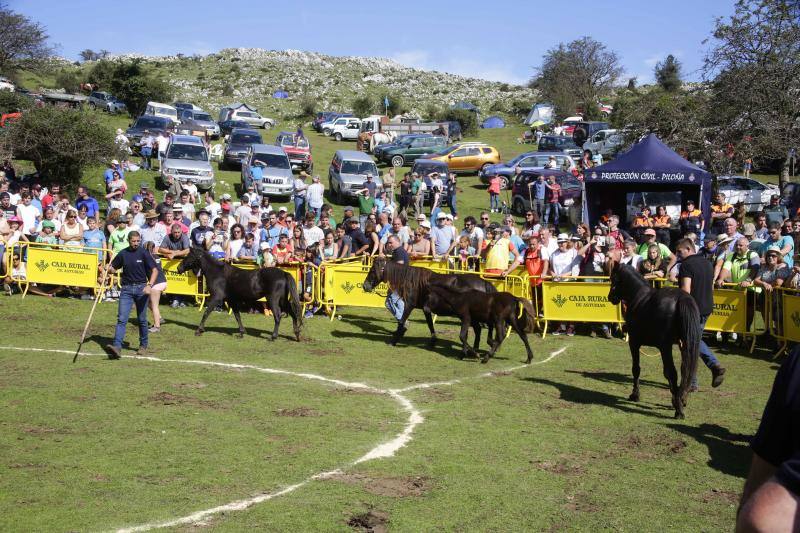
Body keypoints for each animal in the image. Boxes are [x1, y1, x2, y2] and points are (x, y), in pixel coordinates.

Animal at [176, 248, 304, 340]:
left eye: (189, 256)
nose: (178, 268)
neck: (217, 273)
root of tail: (283, 273)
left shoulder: (216, 298)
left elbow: (206, 313)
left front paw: (199, 330)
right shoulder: (231, 300)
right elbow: (237, 316)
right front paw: (241, 333)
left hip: (273, 299)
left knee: (278, 316)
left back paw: (273, 337)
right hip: (283, 300)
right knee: (293, 314)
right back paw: (297, 335)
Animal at [360, 256, 494, 348]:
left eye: (372, 271)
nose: (365, 286)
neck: (412, 282)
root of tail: (484, 283)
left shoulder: (409, 305)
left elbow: (402, 321)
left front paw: (393, 341)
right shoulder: (426, 309)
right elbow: (430, 324)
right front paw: (433, 341)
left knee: (478, 330)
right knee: (478, 330)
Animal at [608, 260, 696, 418]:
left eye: (613, 278)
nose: (610, 297)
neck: (638, 296)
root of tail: (681, 299)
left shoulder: (634, 343)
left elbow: (636, 369)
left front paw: (635, 395)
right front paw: (675, 399)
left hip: (666, 347)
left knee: (672, 373)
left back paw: (679, 410)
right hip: (685, 344)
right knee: (685, 370)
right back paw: (681, 399)